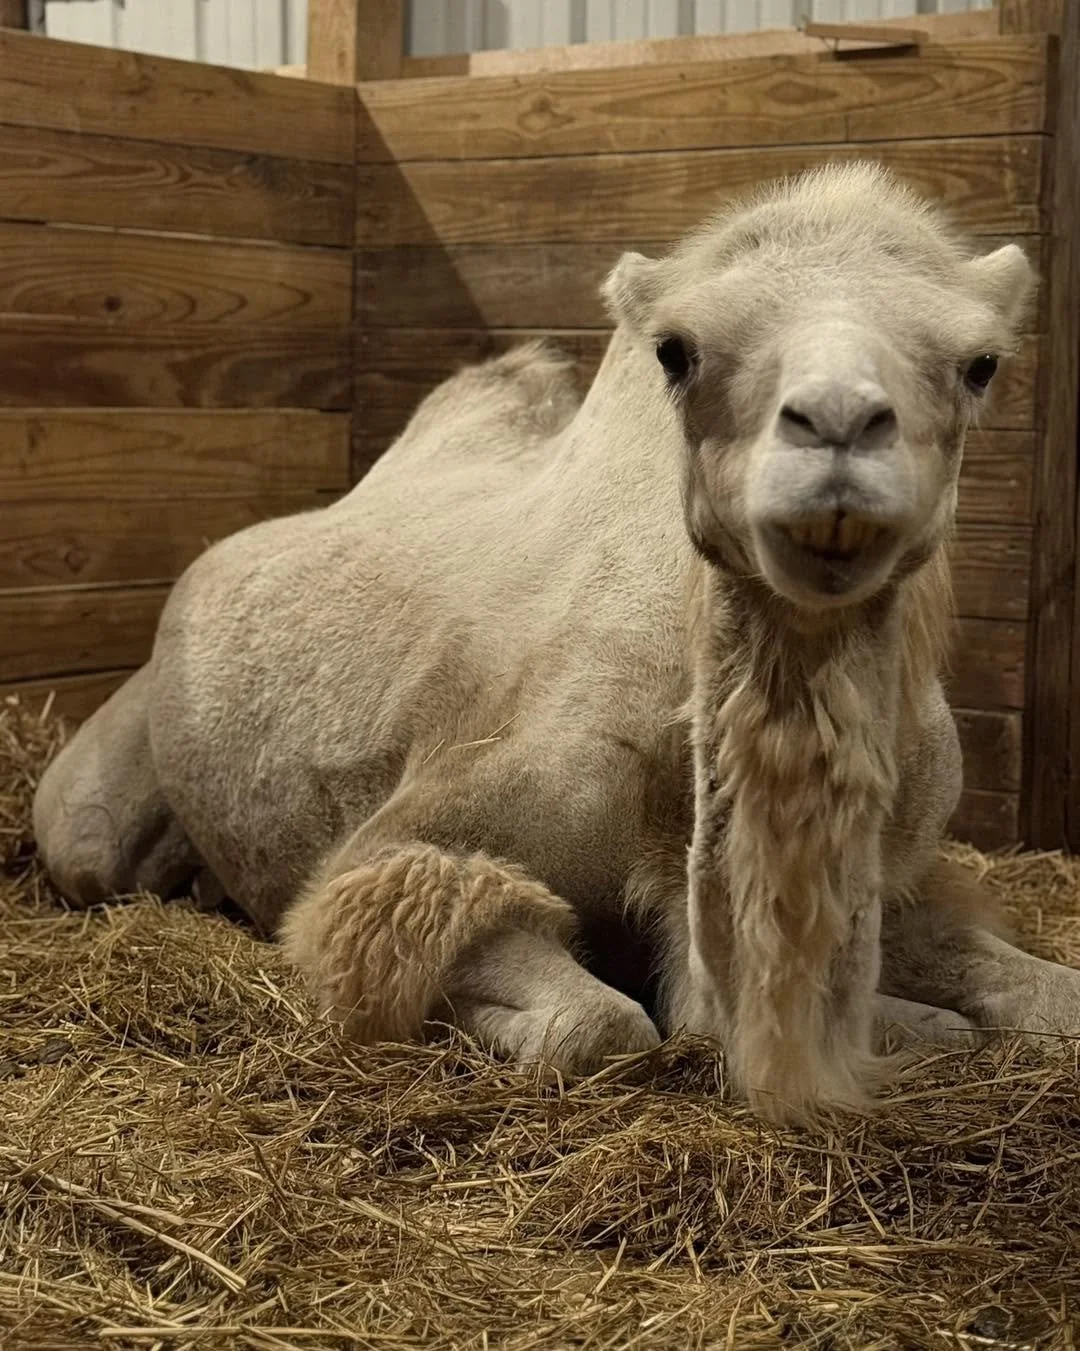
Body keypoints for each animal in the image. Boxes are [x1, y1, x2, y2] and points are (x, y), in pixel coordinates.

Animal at [32, 163, 1080, 1124]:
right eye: (677, 352)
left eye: (982, 363)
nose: (837, 428)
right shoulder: (401, 852)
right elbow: (600, 1021)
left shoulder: (894, 881)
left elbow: (1032, 992)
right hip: (92, 821)